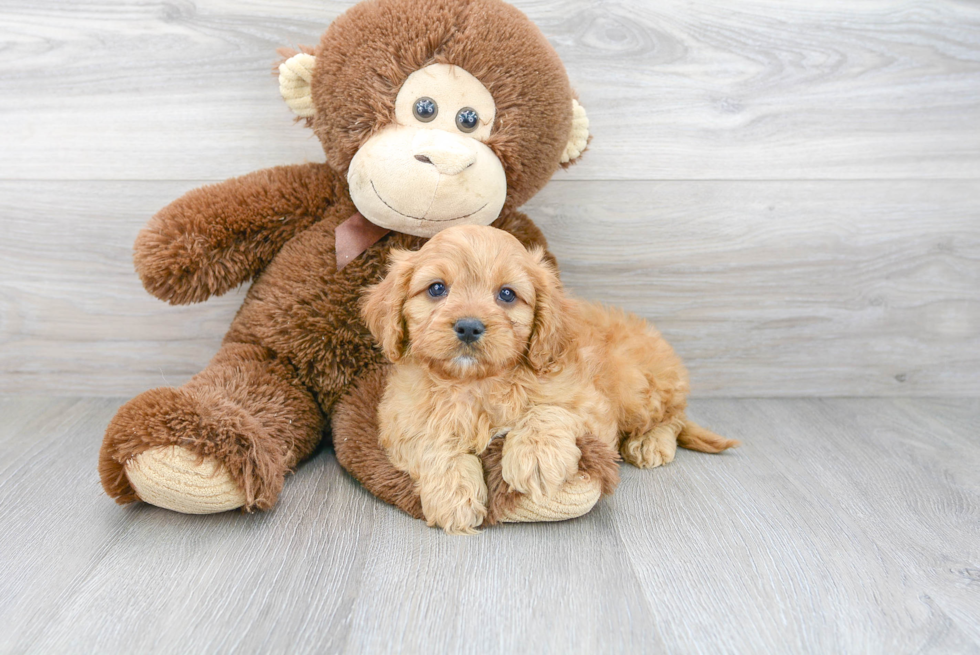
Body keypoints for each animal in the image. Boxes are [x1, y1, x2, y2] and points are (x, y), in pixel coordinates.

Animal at [364, 226, 740, 532]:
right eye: (437, 289)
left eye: (507, 294)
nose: (469, 326)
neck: (477, 382)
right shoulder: (401, 419)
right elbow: (432, 442)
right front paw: (453, 494)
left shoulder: (590, 403)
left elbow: (549, 410)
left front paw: (535, 455)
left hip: (638, 384)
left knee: (672, 417)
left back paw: (651, 442)